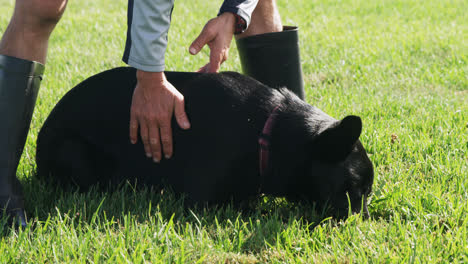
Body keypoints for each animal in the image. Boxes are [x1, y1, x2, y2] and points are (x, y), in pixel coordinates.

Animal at [35, 67, 372, 217]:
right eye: (356, 189)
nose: (360, 220)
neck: (265, 135)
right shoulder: (204, 201)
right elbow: (250, 208)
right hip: (73, 151)